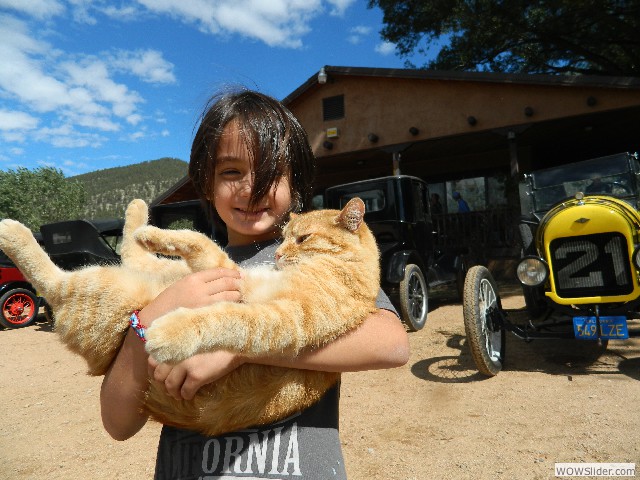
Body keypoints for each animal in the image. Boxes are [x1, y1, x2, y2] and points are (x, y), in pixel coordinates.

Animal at [0, 197, 380, 436]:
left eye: (302, 239)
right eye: (284, 237)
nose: (279, 254)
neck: (342, 268)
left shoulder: (277, 318)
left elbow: (222, 320)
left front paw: (169, 333)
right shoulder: (232, 274)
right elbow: (198, 239)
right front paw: (159, 234)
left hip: (108, 288)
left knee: (53, 282)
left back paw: (12, 232)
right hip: (158, 272)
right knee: (131, 252)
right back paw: (140, 219)